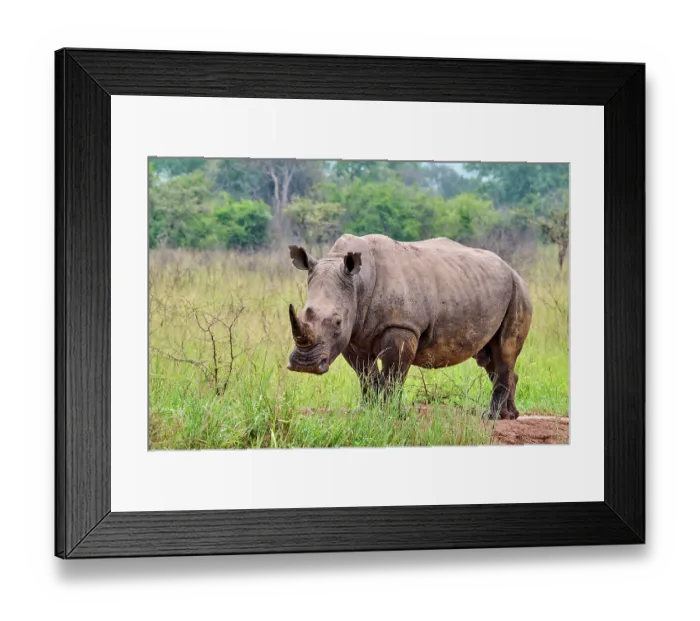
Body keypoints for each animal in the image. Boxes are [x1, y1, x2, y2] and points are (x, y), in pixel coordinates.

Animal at [287, 233, 532, 420]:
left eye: (337, 322)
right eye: (302, 313)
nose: (304, 365)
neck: (358, 283)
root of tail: (513, 270)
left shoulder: (401, 327)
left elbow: (393, 374)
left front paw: (388, 414)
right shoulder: (353, 335)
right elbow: (365, 374)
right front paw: (367, 411)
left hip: (518, 291)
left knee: (504, 351)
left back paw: (492, 417)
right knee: (489, 358)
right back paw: (510, 416)